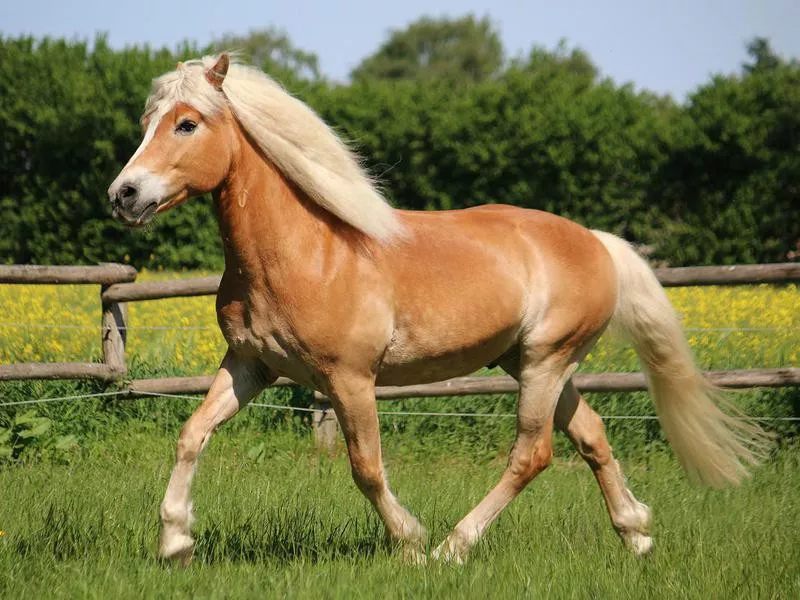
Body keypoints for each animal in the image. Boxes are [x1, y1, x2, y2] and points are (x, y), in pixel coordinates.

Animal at [106, 54, 768, 564]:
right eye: (146, 121)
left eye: (187, 124)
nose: (124, 195)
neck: (304, 254)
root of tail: (596, 242)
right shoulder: (250, 366)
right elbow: (191, 434)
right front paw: (175, 543)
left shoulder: (350, 380)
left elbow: (366, 468)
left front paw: (411, 543)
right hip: (532, 364)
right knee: (592, 437)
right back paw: (636, 536)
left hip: (546, 363)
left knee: (532, 455)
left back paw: (455, 546)